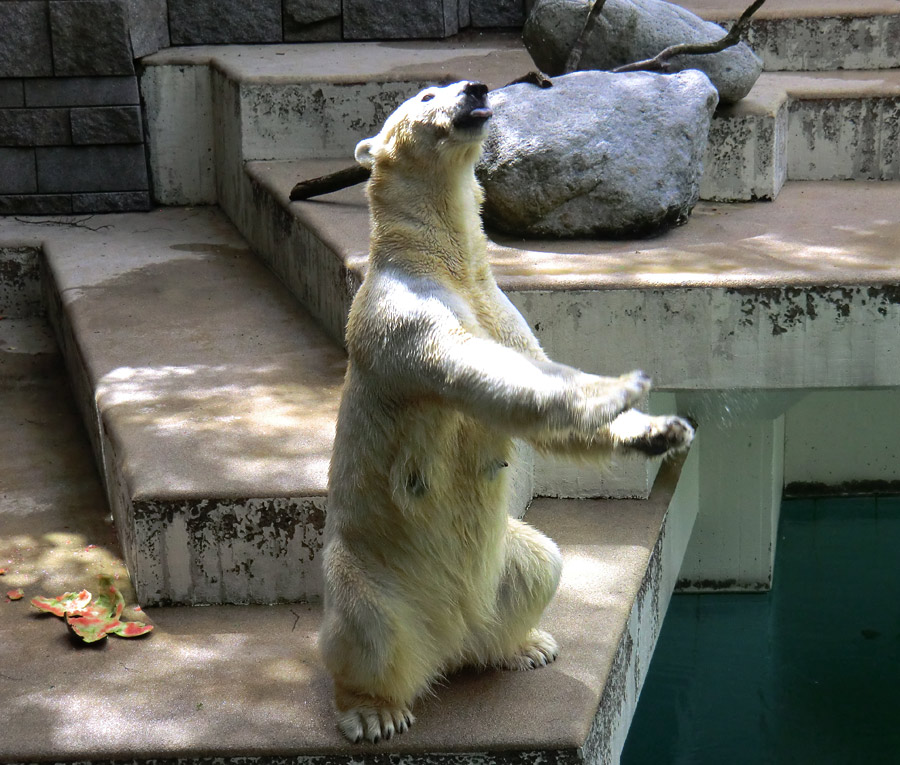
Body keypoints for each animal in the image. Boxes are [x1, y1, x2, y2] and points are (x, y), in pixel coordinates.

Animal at [320, 80, 692, 744]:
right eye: (426, 94)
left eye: (456, 82)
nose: (475, 88)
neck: (444, 261)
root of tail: (445, 640)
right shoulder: (401, 313)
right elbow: (479, 370)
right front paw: (618, 391)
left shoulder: (497, 303)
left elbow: (529, 371)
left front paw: (655, 432)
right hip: (372, 569)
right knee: (366, 623)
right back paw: (373, 711)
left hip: (501, 562)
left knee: (540, 562)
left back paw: (525, 645)